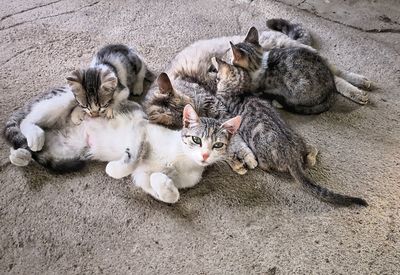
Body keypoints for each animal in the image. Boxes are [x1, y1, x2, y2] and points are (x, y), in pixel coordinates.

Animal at [104, 104, 241, 204]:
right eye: (196, 139)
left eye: (218, 145)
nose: (205, 155)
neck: (182, 160)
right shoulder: (141, 125)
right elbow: (132, 159)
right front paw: (113, 168)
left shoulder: (142, 176)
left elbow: (171, 197)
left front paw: (161, 180)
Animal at [212, 57, 368, 206]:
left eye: (218, 78)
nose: (215, 79)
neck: (240, 91)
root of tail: (292, 157)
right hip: (299, 139)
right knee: (312, 150)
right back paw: (310, 158)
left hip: (262, 151)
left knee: (266, 166)